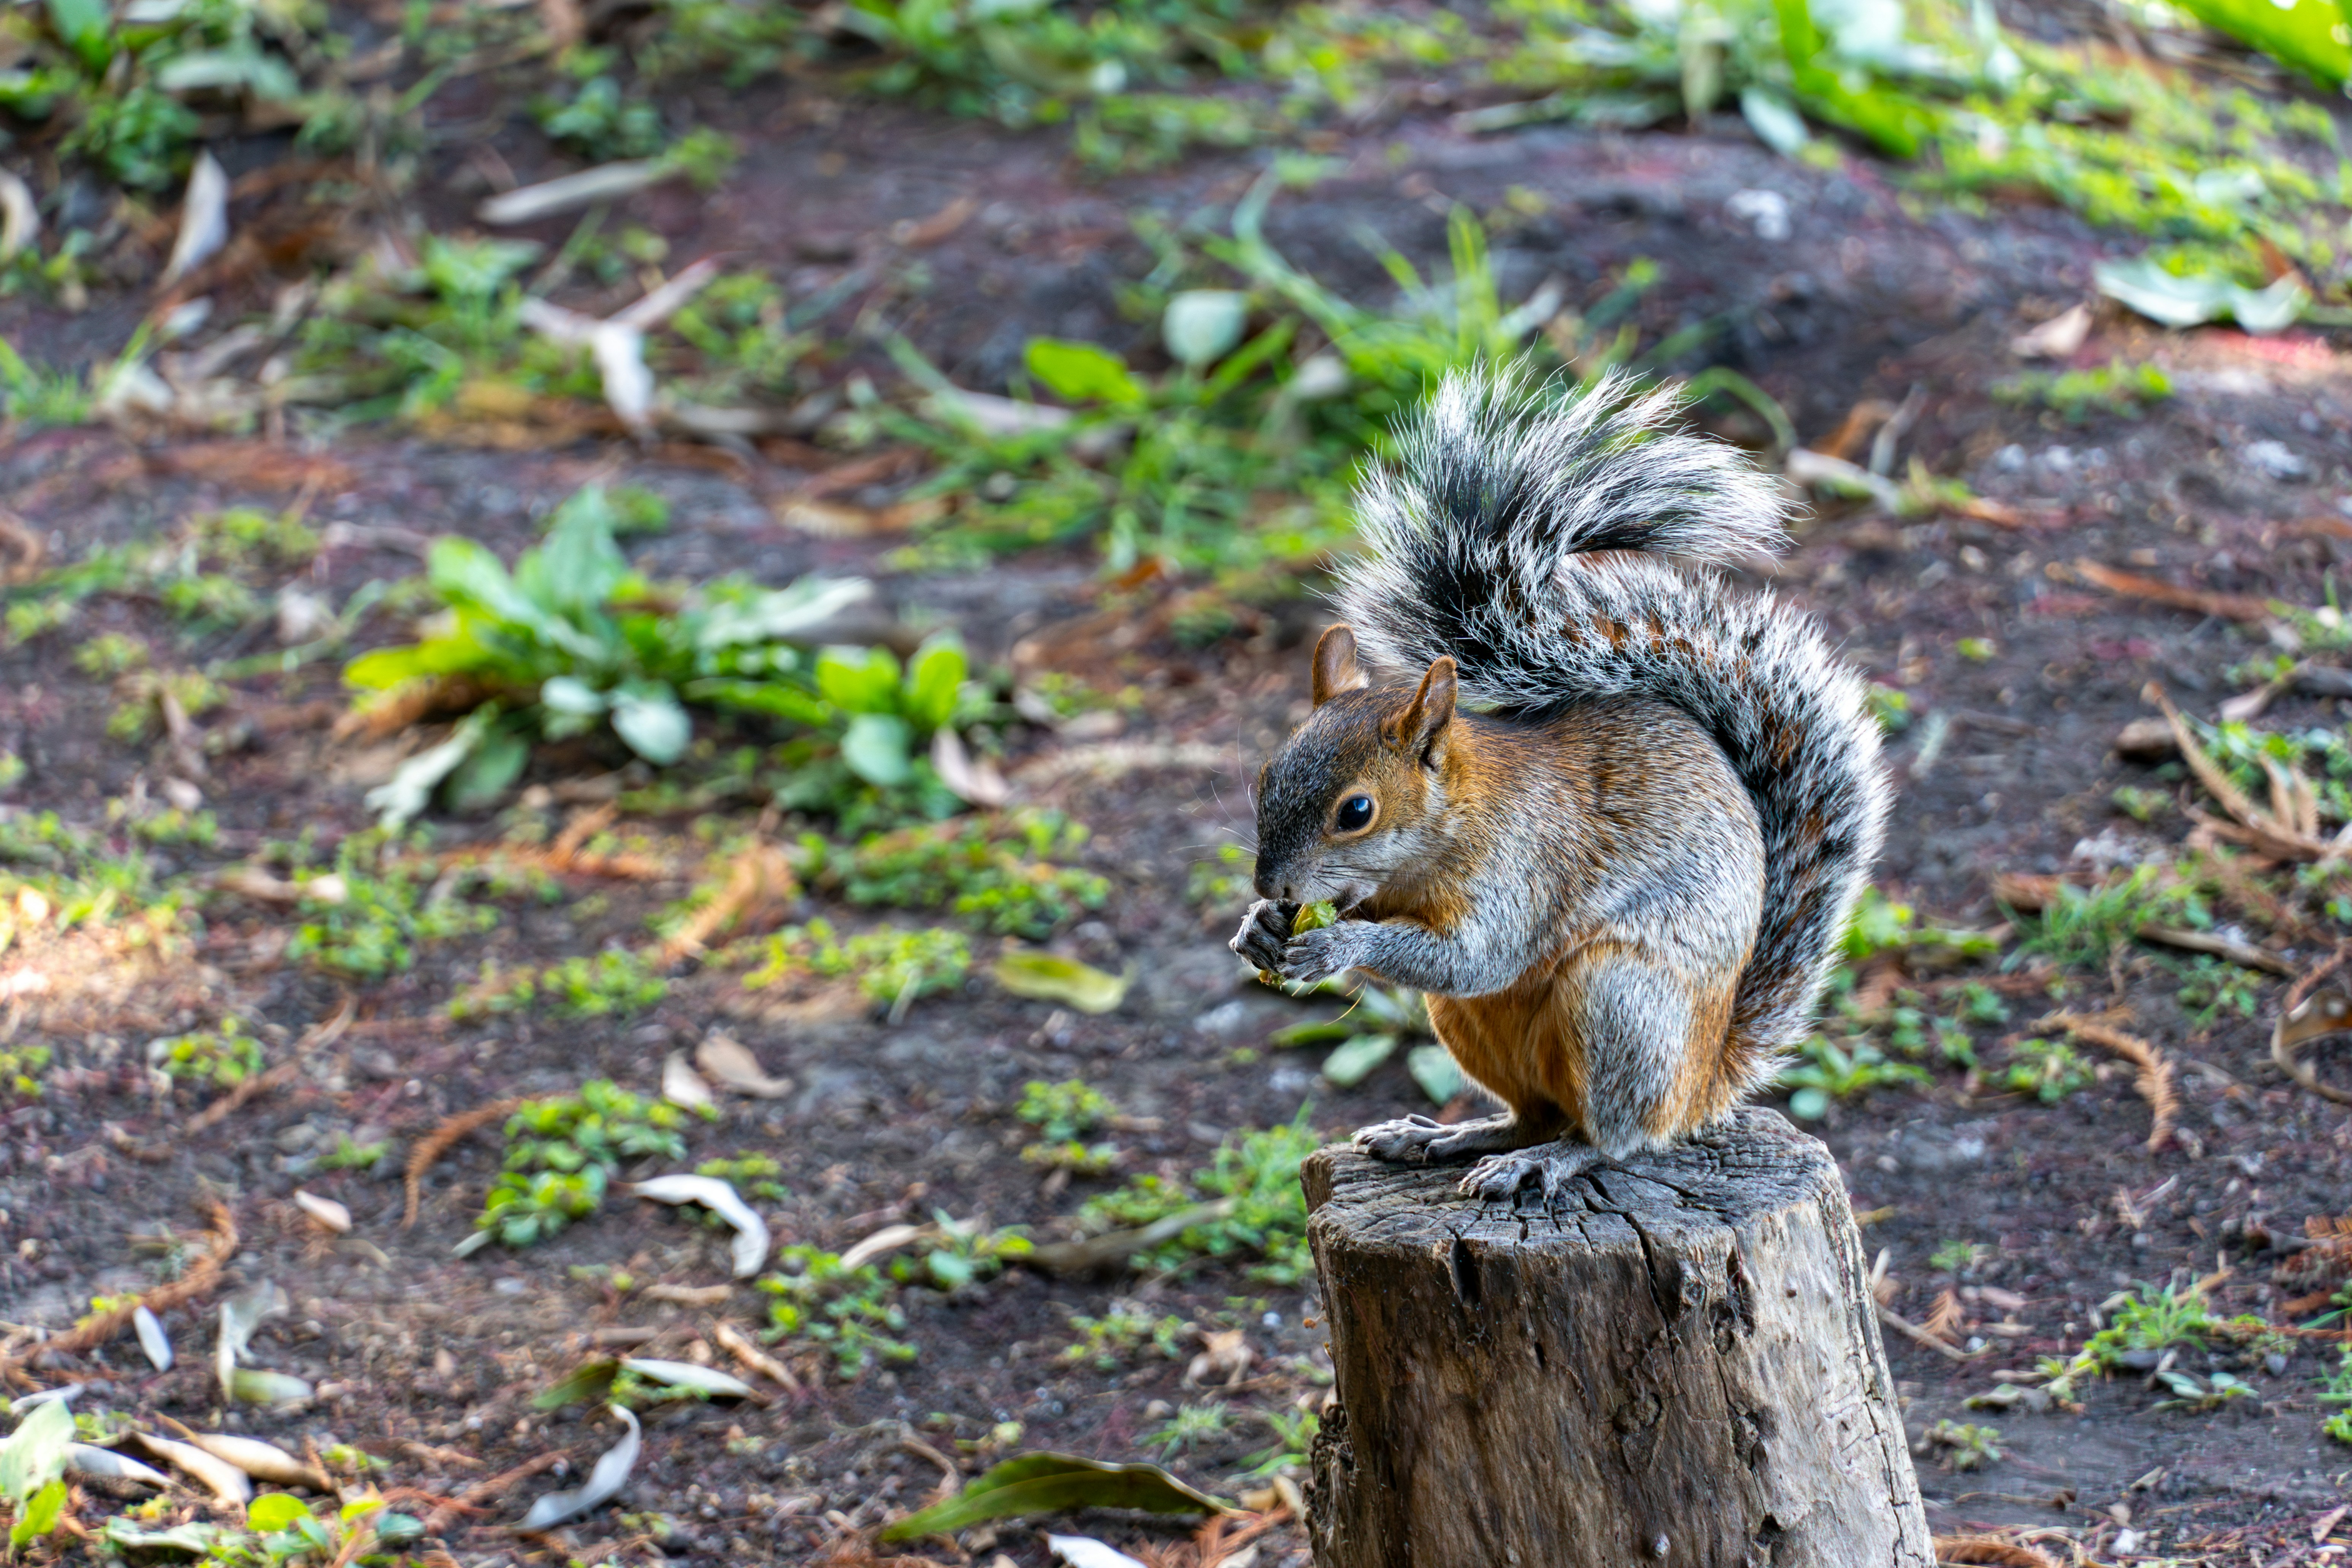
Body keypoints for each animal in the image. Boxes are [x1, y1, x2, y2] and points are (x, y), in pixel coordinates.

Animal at [1230, 366, 1890, 1200]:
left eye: (1357, 811)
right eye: (1267, 774)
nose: (1274, 885)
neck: (1452, 827)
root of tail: (1705, 1080)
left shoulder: (1525, 869)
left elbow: (1477, 956)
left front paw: (1334, 946)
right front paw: (1259, 929)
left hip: (1616, 1003)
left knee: (1613, 1137)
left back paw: (1547, 1160)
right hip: (1469, 1024)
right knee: (1531, 1112)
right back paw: (1446, 1138)